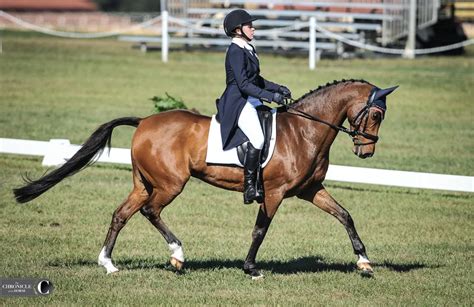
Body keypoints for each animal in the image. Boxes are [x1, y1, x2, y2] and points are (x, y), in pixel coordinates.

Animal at [13, 79, 396, 280]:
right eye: (376, 115)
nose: (366, 152)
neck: (304, 130)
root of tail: (145, 121)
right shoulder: (274, 193)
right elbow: (260, 230)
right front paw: (250, 268)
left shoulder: (310, 190)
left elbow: (345, 215)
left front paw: (364, 261)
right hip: (170, 184)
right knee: (150, 212)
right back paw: (177, 255)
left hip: (144, 183)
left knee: (121, 213)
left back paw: (108, 263)